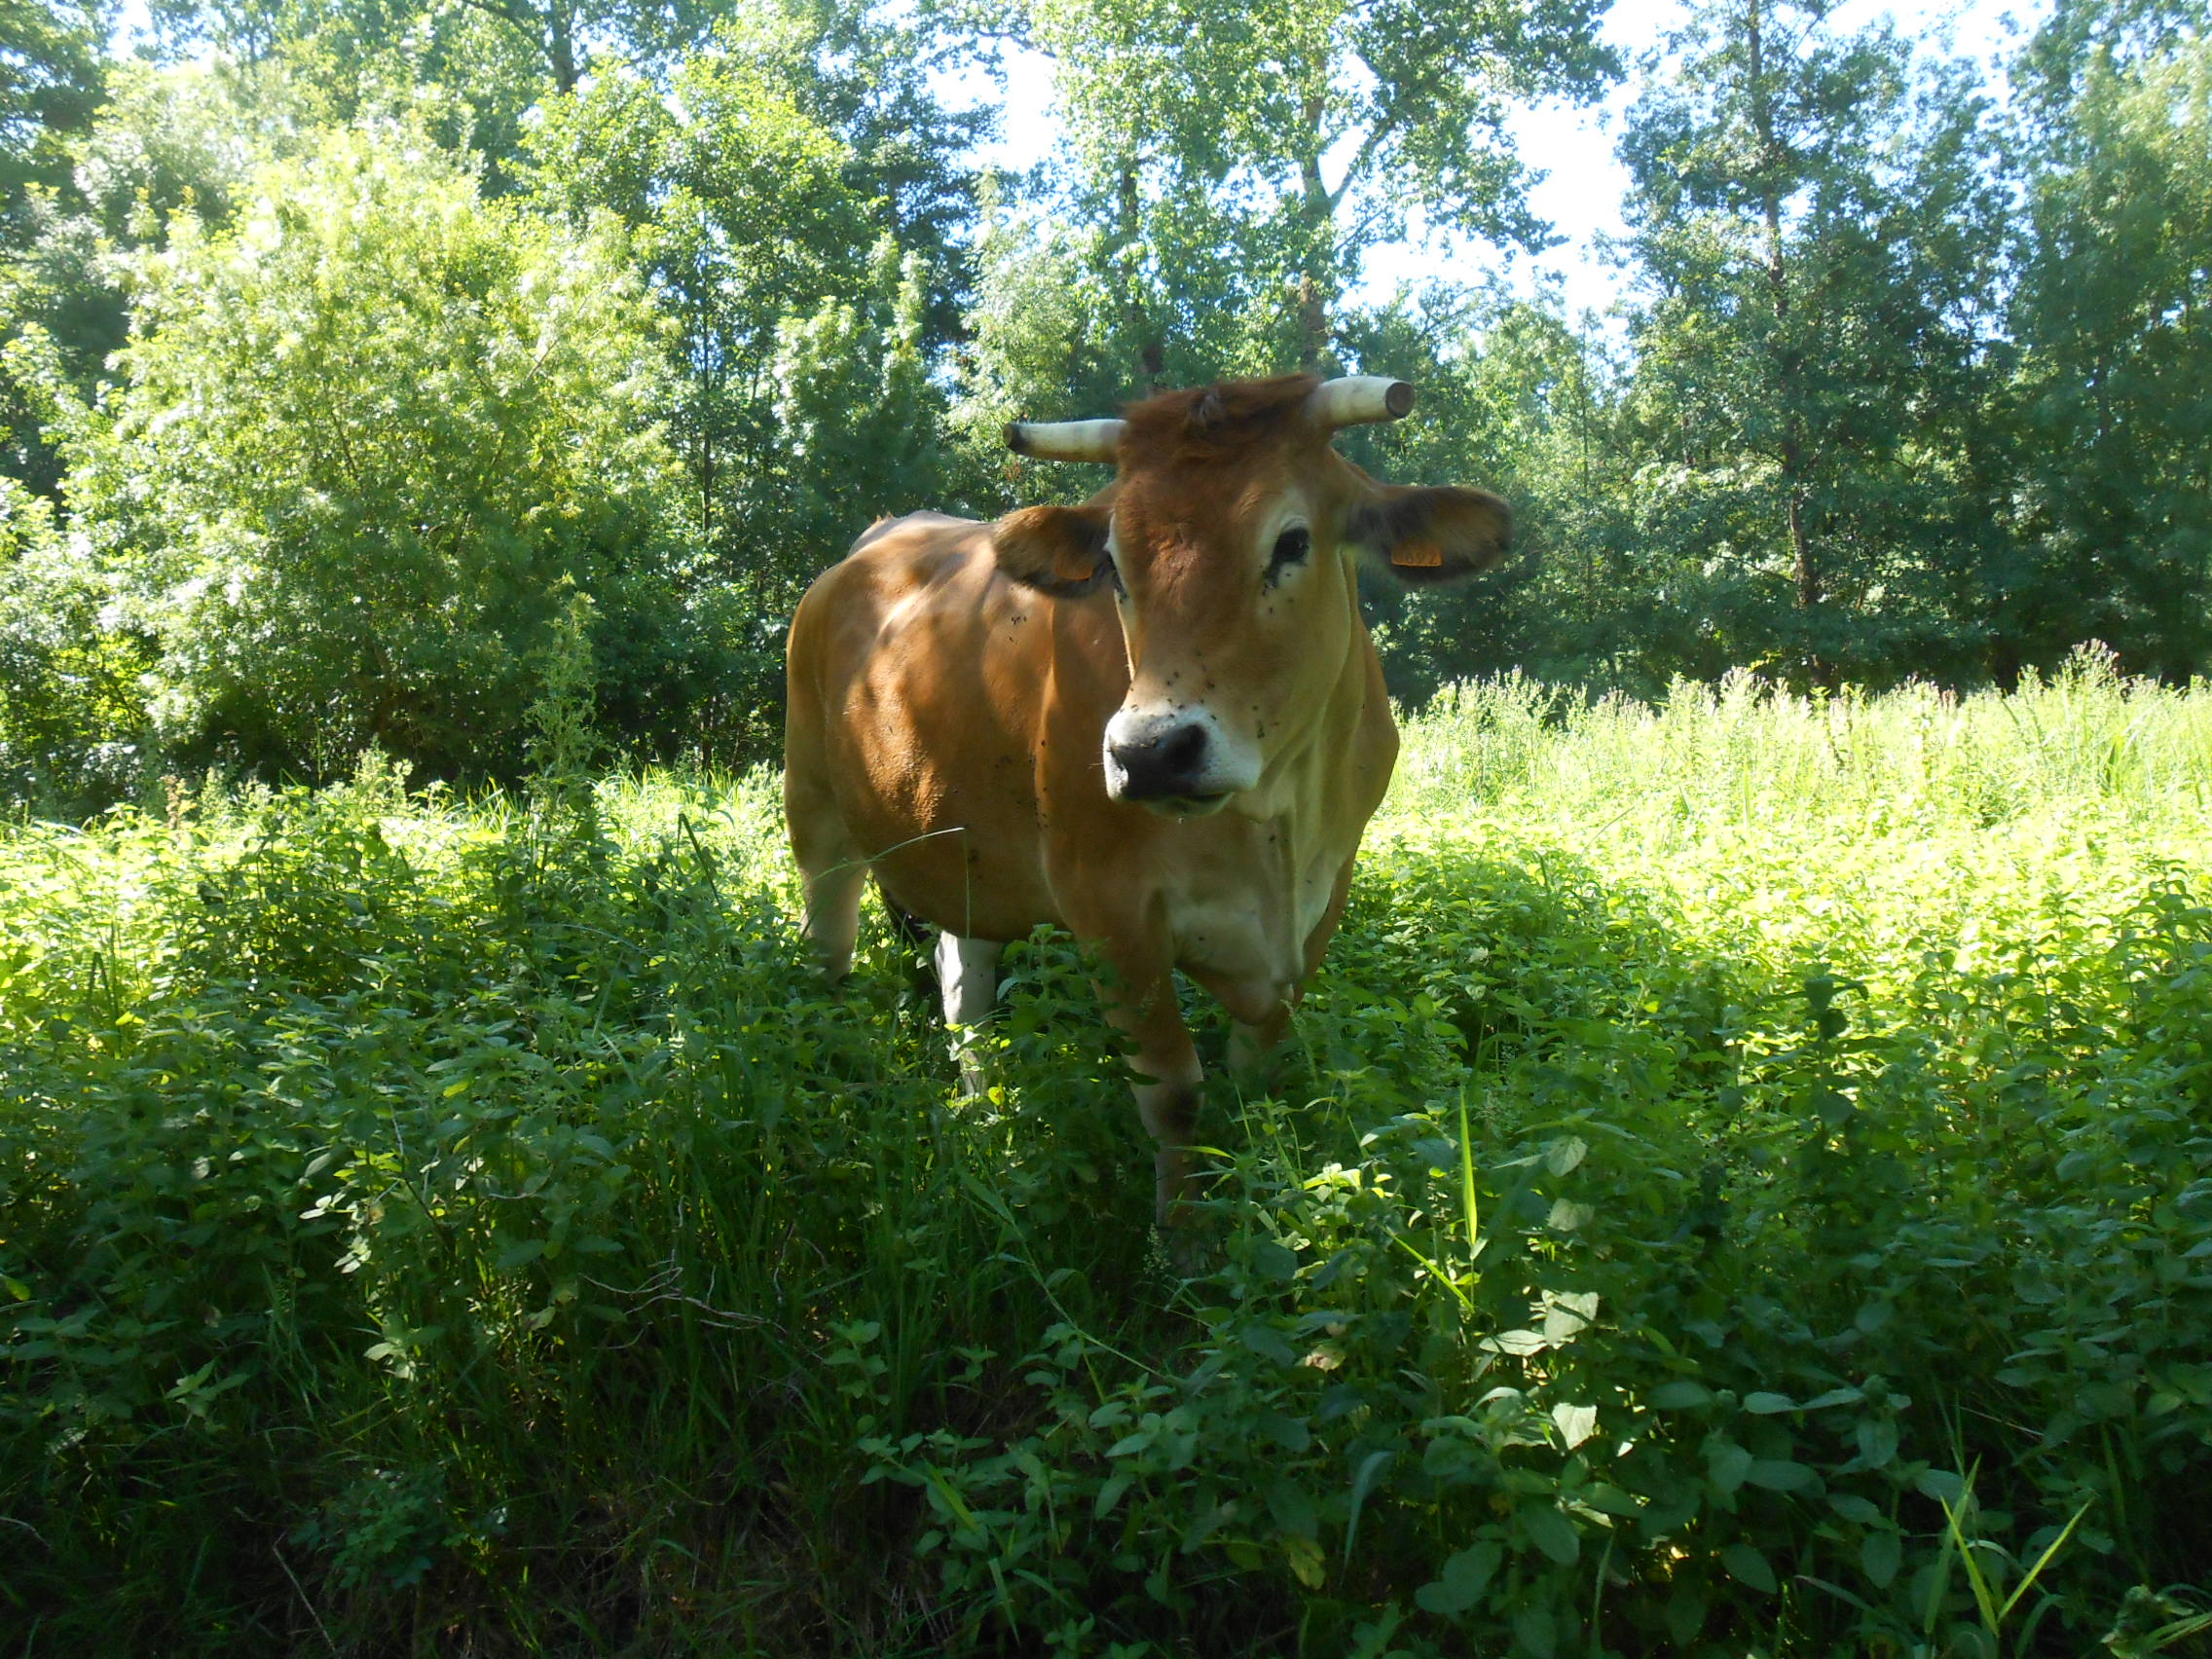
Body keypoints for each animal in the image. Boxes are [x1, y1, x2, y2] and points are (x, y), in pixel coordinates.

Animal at [778, 380, 1503, 1238]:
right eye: (1113, 567)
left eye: (1292, 542)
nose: (1150, 752)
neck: (1274, 825)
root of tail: (875, 541)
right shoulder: (1110, 911)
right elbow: (1174, 1094)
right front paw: (1181, 1242)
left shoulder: (1325, 898)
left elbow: (1256, 1076)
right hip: (813, 807)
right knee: (827, 957)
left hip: (964, 852)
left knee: (965, 987)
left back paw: (988, 1122)